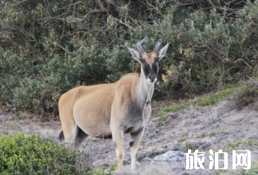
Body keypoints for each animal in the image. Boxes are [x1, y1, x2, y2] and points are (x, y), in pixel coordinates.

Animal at [59, 38, 169, 171]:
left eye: (157, 59)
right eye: (141, 60)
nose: (152, 77)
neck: (136, 96)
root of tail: (63, 97)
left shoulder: (138, 130)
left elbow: (134, 154)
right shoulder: (117, 129)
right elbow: (120, 155)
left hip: (81, 134)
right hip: (70, 132)